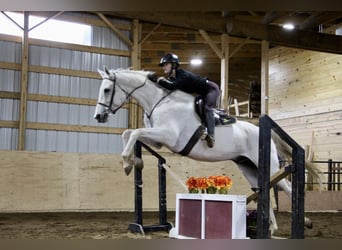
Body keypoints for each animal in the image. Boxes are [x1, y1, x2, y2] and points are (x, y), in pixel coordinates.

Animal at [94, 68, 320, 234]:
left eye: (107, 90)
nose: (98, 117)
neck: (159, 102)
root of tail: (261, 129)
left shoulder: (168, 136)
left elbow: (134, 132)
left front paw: (127, 163)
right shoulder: (158, 141)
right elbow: (129, 133)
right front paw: (133, 163)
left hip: (268, 164)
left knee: (284, 186)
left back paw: (306, 222)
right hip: (248, 166)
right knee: (262, 188)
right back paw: (272, 228)